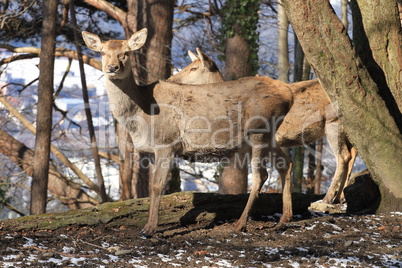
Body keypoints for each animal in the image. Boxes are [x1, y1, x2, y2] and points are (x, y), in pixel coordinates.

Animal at [82, 28, 296, 236]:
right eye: (103, 52)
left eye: (126, 53)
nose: (112, 67)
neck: (139, 114)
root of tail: (289, 96)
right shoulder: (152, 151)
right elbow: (153, 186)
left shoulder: (166, 142)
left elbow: (158, 185)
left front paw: (149, 229)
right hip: (269, 135)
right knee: (285, 163)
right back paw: (285, 219)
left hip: (258, 129)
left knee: (261, 175)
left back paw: (240, 224)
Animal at [174, 48, 356, 203]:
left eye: (193, 68)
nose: (171, 79)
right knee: (352, 152)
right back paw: (340, 197)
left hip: (333, 122)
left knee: (343, 156)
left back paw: (327, 198)